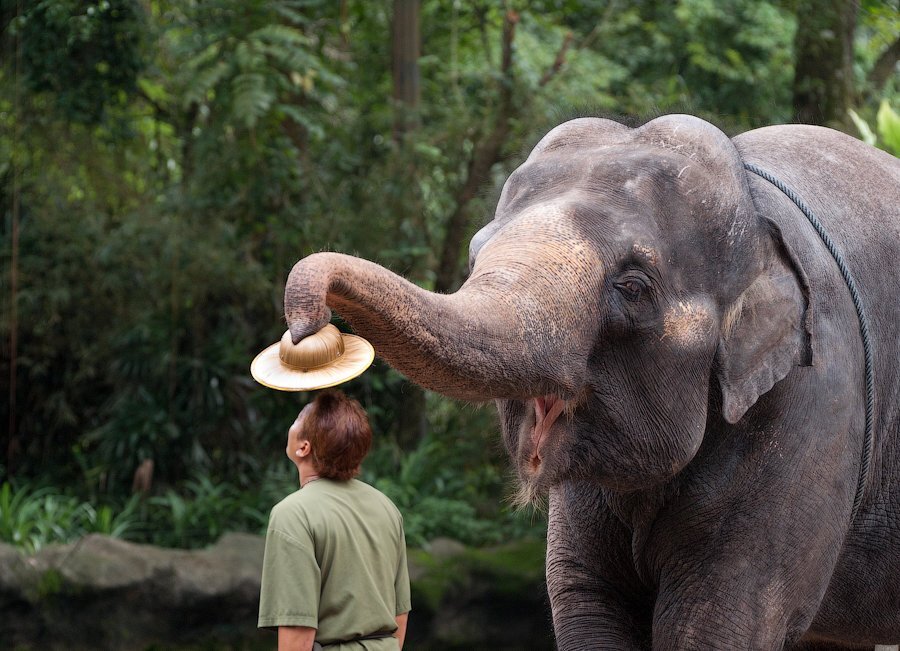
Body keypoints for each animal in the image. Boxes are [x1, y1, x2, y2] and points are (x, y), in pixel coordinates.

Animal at [282, 114, 900, 648]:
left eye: (633, 286)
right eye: (476, 255)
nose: (304, 326)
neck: (755, 205)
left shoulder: (813, 405)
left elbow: (720, 622)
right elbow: (588, 603)